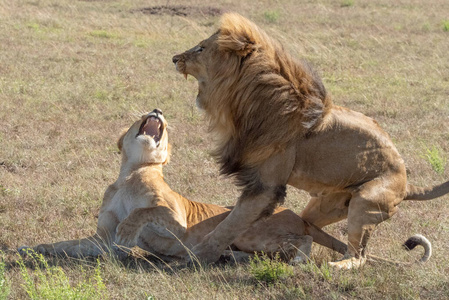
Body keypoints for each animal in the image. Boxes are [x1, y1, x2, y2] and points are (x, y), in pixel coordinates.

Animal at [172, 12, 448, 268]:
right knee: (312, 230)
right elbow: (235, 224)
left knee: (358, 256)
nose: (174, 58)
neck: (241, 102)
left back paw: (332, 267)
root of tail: (407, 184)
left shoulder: (266, 186)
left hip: (365, 203)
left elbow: (227, 226)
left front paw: (194, 257)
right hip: (320, 208)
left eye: (201, 47)